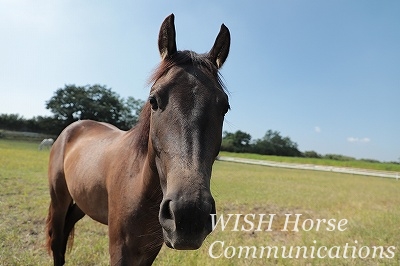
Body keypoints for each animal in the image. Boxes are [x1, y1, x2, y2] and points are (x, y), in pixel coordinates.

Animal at [45, 14, 230, 266]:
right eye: (154, 100)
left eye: (225, 107)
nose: (189, 214)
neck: (138, 185)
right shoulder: (120, 251)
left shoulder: (148, 251)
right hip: (59, 200)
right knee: (57, 243)